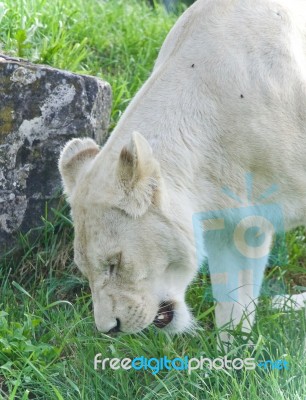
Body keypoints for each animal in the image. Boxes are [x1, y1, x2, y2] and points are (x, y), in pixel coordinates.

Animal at [58, 0, 306, 344]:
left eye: (114, 263)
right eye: (85, 270)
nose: (110, 328)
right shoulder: (236, 214)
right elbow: (233, 294)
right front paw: (234, 348)